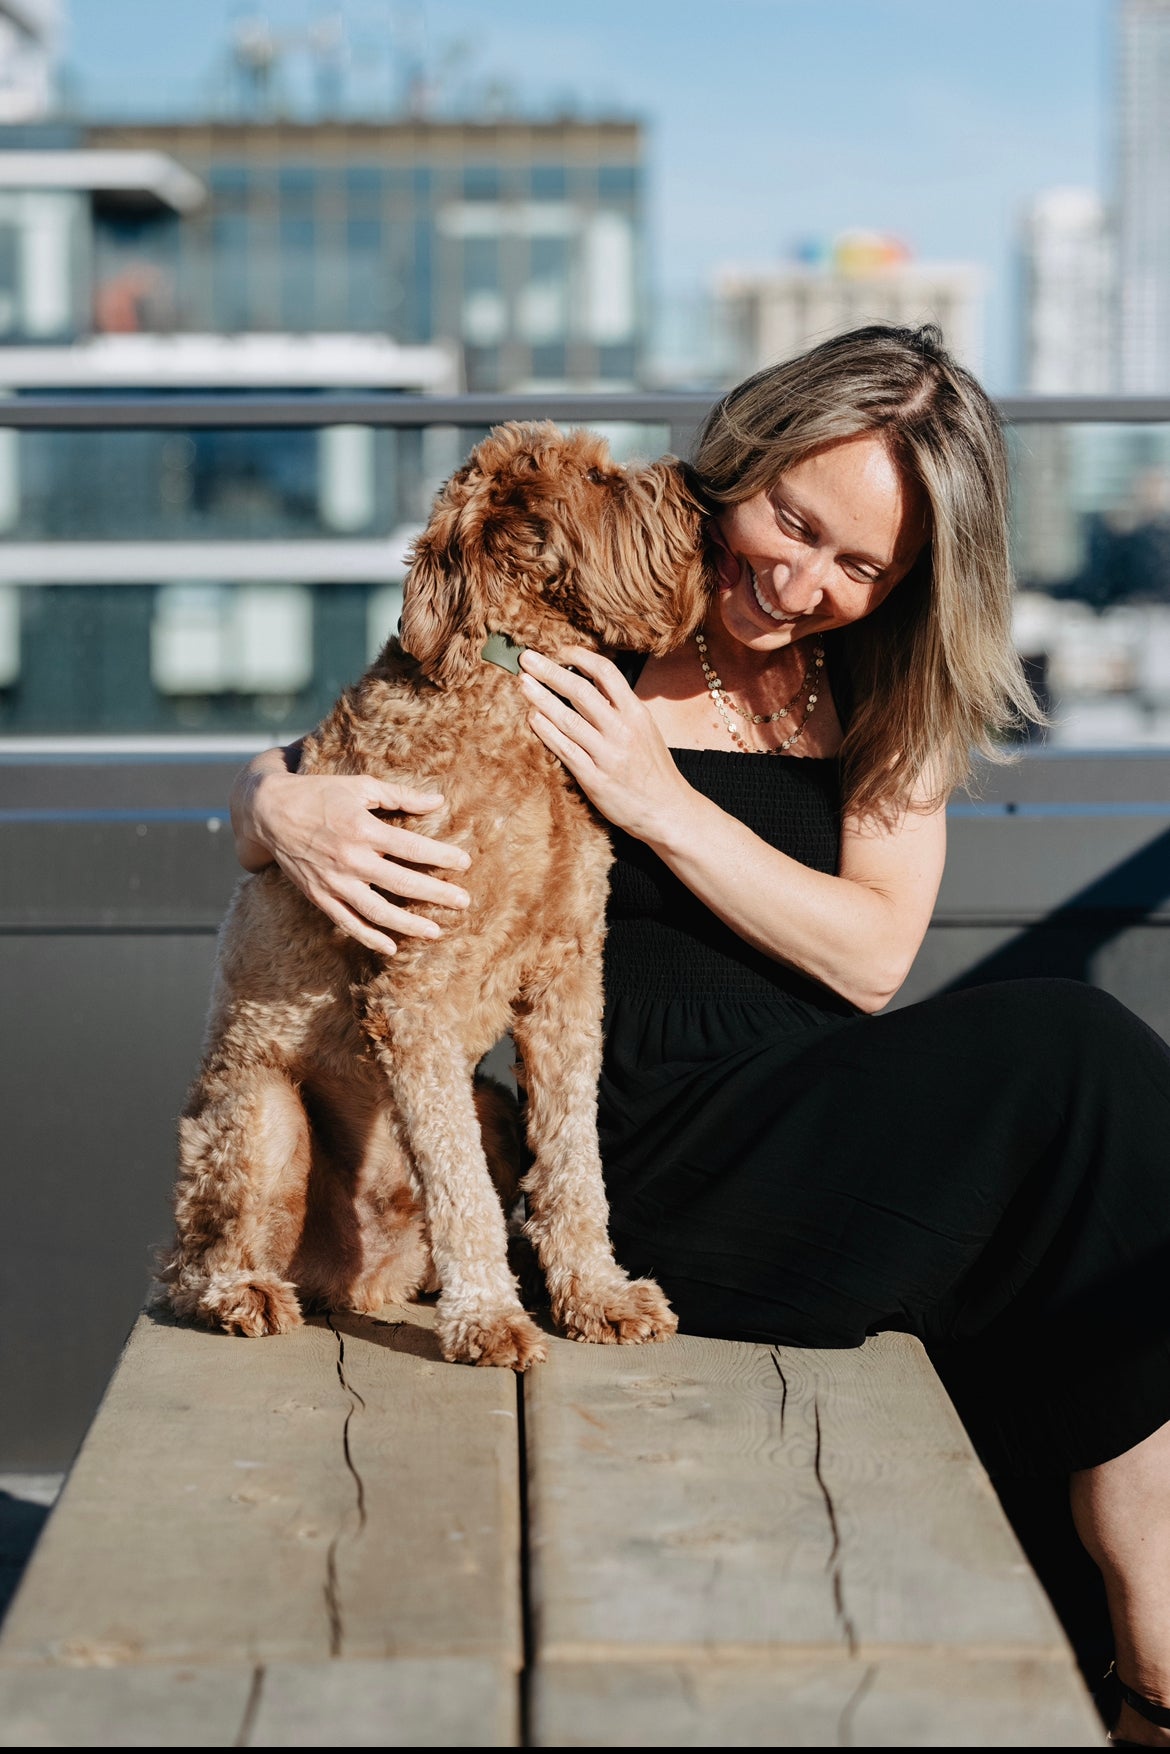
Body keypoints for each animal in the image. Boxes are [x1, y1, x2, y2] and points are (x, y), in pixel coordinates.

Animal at [158, 420, 708, 1368]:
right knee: (197, 1260)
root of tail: (353, 1280)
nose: (702, 493)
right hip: (259, 1112)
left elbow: (575, 1159)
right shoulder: (413, 991)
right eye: (600, 479)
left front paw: (597, 1296)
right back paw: (246, 1294)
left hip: (492, 1103)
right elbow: (460, 1184)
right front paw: (487, 1317)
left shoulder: (566, 975)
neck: (510, 684)